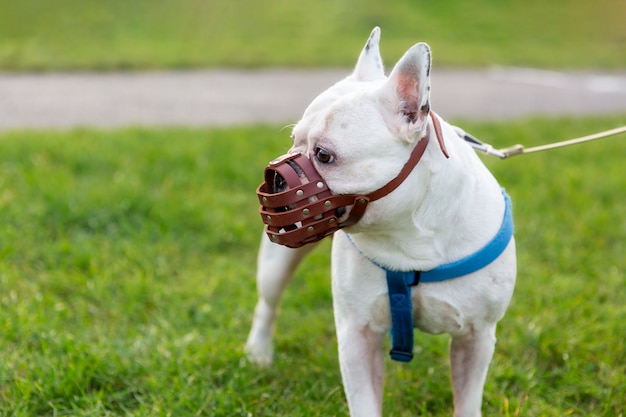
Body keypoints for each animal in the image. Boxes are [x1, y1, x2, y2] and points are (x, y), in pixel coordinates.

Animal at [244, 27, 512, 414]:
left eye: (324, 155)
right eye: (294, 141)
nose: (276, 179)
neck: (408, 234)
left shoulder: (477, 338)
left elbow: (467, 401)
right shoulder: (358, 334)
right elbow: (364, 403)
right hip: (277, 261)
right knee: (268, 303)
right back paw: (258, 352)